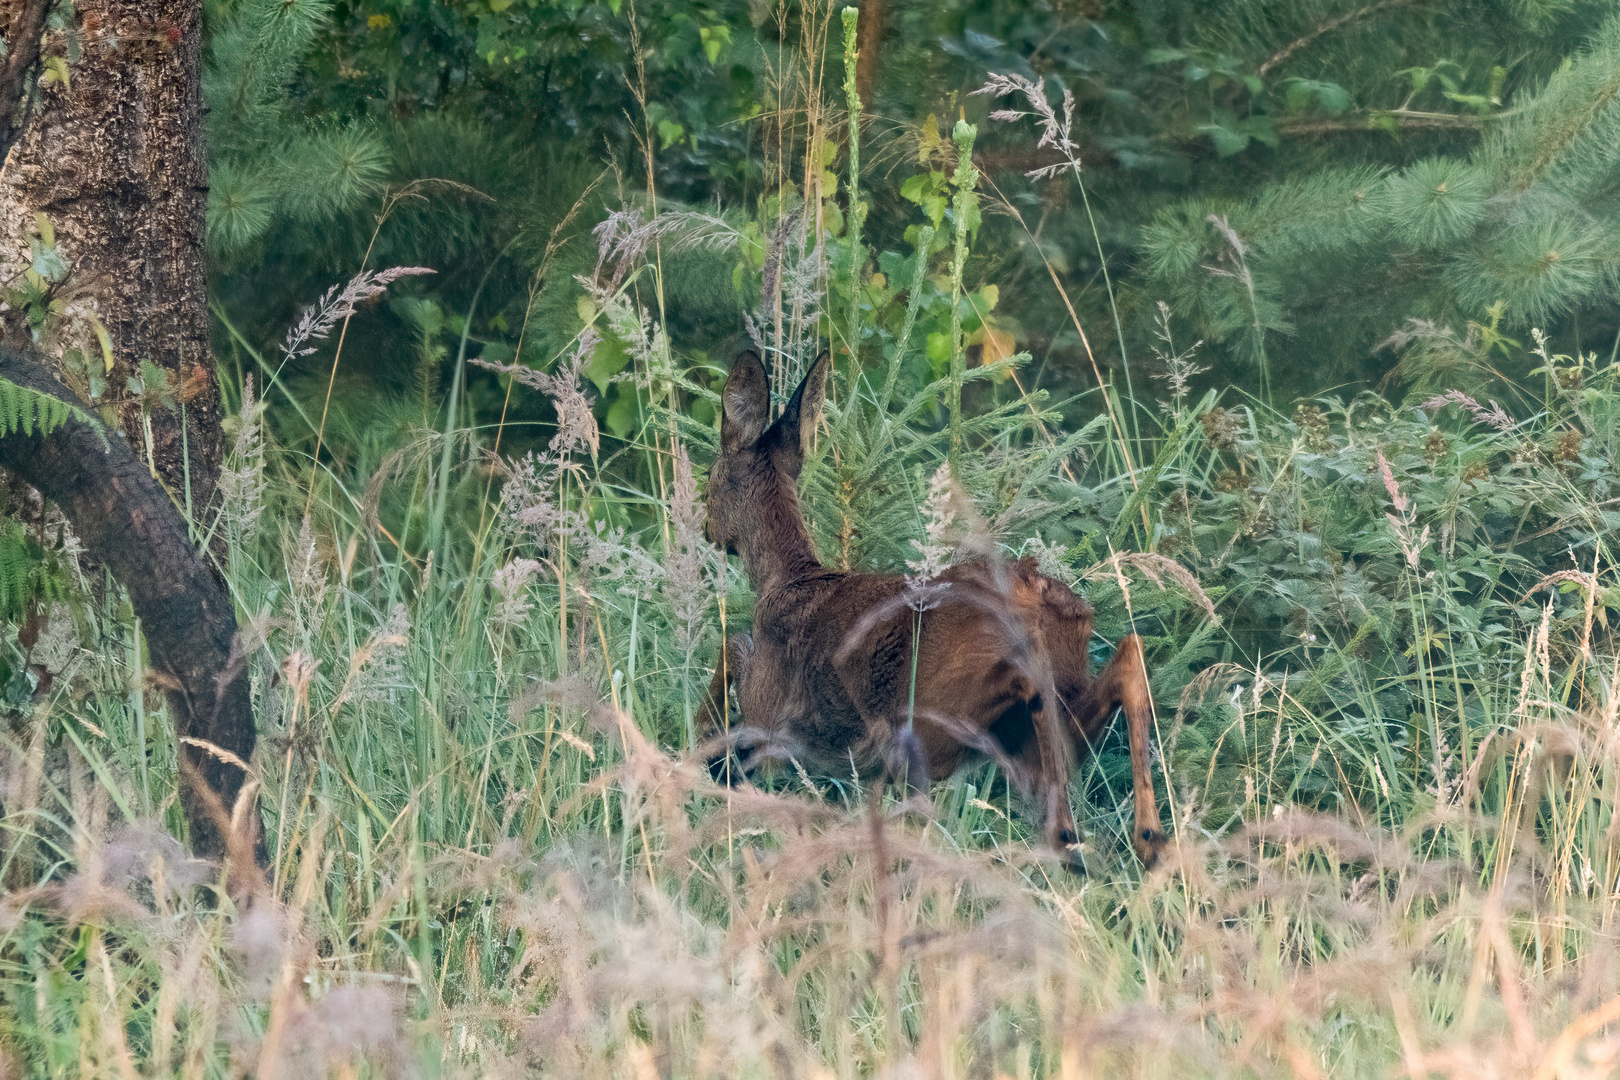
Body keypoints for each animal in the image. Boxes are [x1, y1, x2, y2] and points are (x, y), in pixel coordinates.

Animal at [696, 351, 1166, 874]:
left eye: (708, 476)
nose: (708, 530)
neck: (785, 579)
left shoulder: (771, 718)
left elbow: (733, 648)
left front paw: (704, 740)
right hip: (1037, 721)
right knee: (1125, 658)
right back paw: (1144, 837)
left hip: (939, 711)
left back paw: (1067, 834)